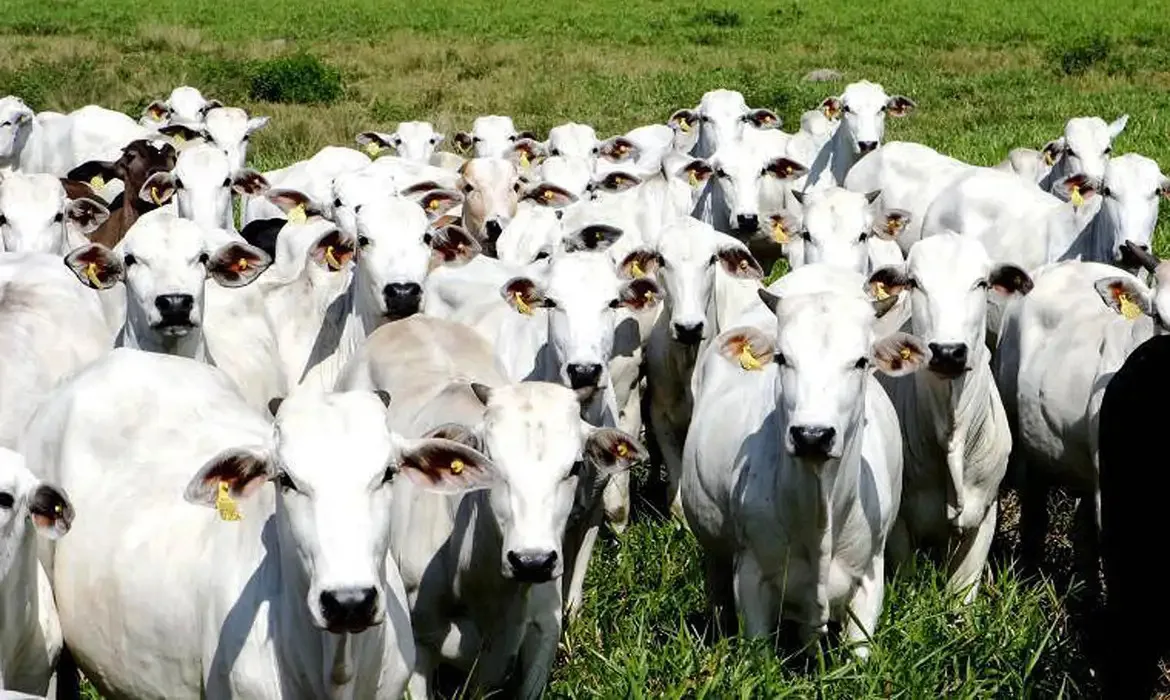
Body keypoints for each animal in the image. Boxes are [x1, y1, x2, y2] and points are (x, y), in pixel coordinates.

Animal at [334, 316, 641, 697]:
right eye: (491, 461)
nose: (532, 561)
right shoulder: (418, 645)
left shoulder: (542, 630)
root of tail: (410, 321)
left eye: (575, 466)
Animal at [870, 234, 1034, 604]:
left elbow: (961, 598)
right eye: (914, 282)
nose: (947, 352)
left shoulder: (985, 513)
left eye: (982, 283)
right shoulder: (899, 524)